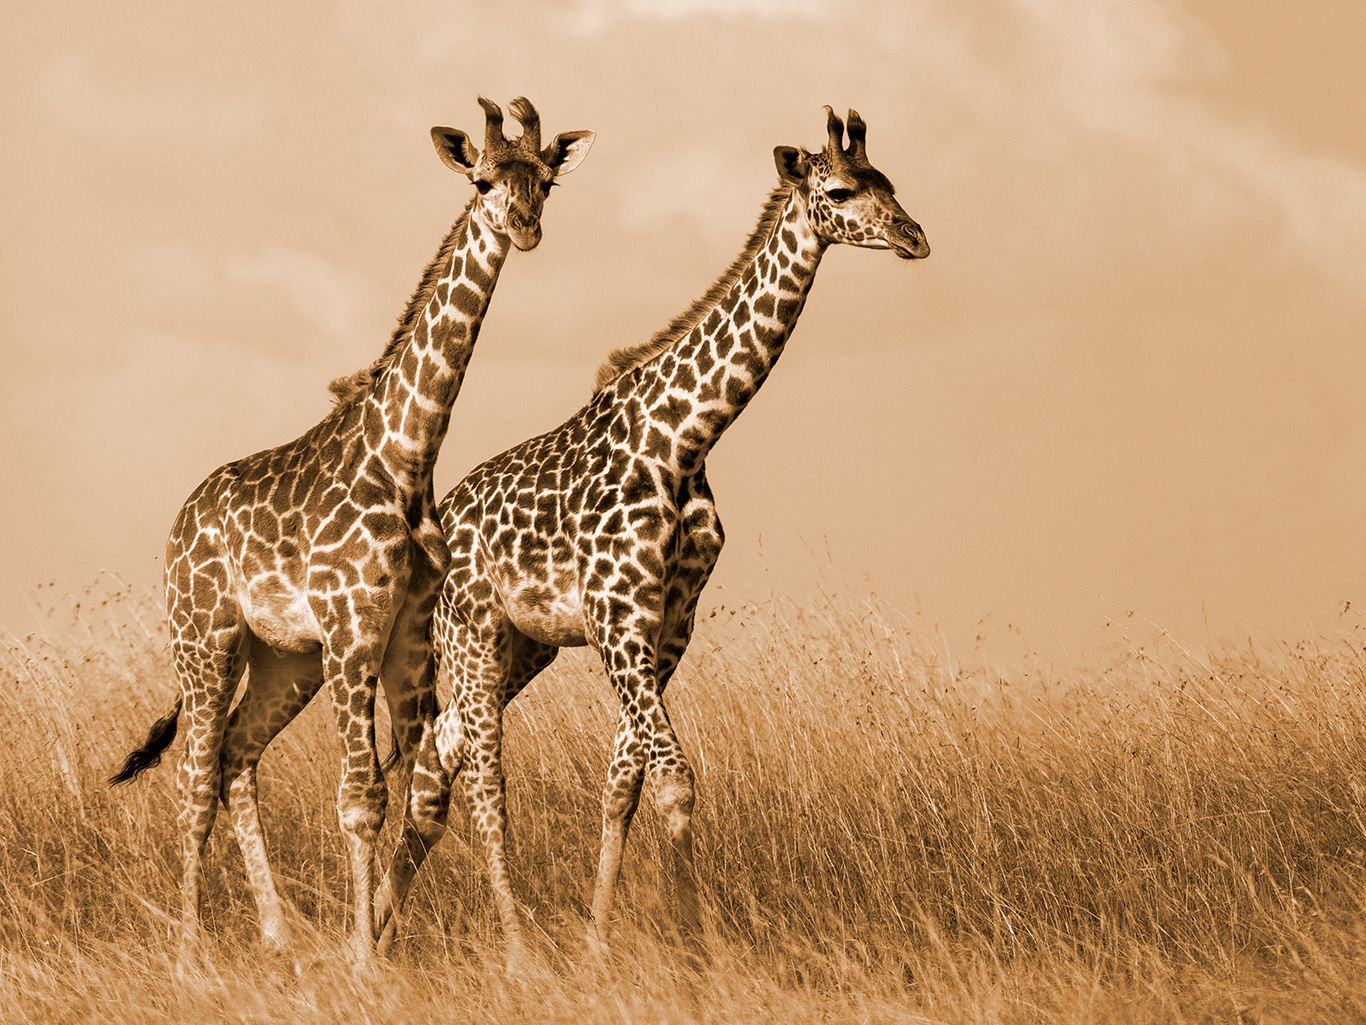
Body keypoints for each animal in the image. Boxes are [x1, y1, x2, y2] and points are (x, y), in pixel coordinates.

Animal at [109, 97, 594, 963]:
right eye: (481, 179)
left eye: (544, 180)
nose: (525, 227)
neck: (405, 455)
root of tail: (180, 519)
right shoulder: (353, 629)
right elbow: (360, 794)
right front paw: (363, 955)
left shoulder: (404, 637)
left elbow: (416, 787)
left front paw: (376, 942)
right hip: (205, 636)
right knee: (194, 775)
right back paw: (190, 949)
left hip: (284, 658)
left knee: (235, 754)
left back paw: (275, 931)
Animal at [372, 106, 929, 961]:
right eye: (839, 189)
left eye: (890, 182)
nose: (914, 237)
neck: (685, 438)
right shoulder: (617, 617)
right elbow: (674, 779)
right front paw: (698, 949)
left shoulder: (670, 622)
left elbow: (624, 781)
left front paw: (601, 943)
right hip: (471, 636)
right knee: (476, 777)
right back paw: (504, 949)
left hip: (521, 647)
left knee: (436, 765)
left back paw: (377, 937)